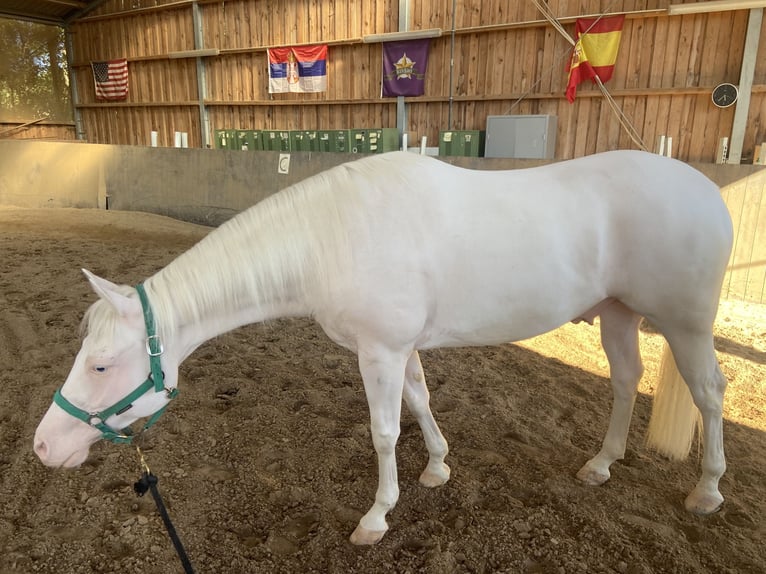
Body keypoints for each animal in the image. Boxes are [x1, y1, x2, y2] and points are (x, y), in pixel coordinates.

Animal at [33, 151, 736, 548]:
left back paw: (707, 492)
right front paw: (439, 468)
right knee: (625, 382)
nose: (43, 447)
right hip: (618, 313)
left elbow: (383, 430)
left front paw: (377, 518)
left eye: (101, 364)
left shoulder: (380, 351)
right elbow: (419, 404)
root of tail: (708, 193)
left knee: (709, 392)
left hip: (686, 323)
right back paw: (601, 465)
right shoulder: (401, 349)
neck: (327, 236)